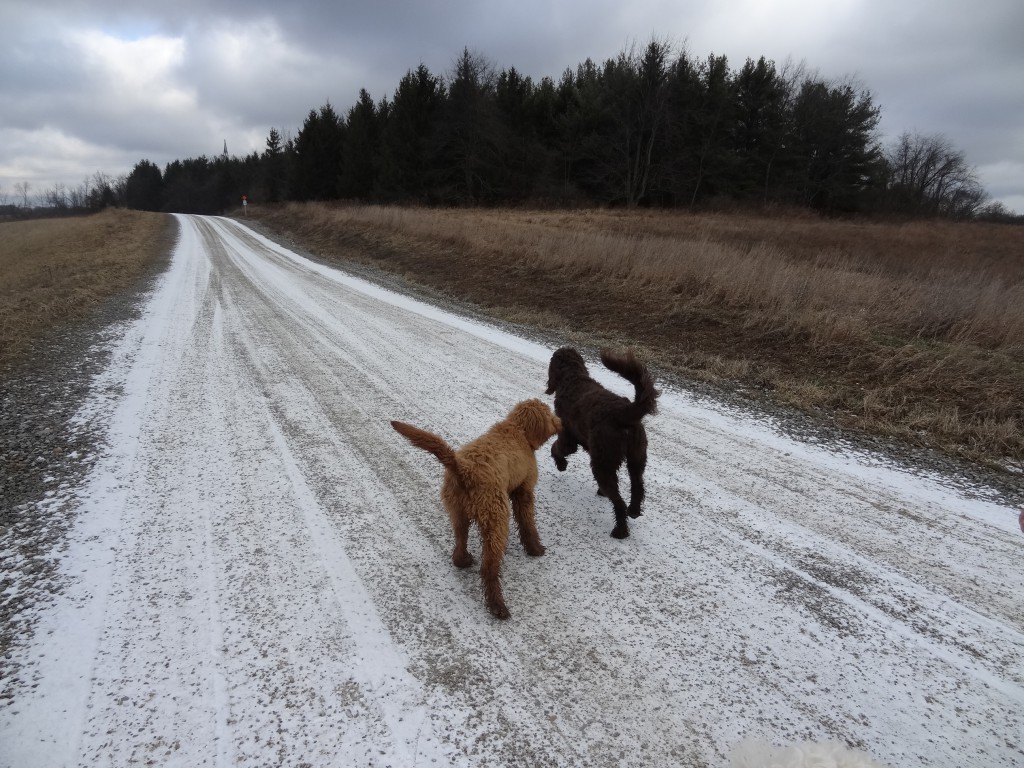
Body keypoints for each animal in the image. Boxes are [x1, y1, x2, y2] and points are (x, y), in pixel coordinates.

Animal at [387, 399, 561, 622]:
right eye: (549, 413)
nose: (561, 421)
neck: (517, 430)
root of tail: (463, 470)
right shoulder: (524, 491)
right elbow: (527, 523)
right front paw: (535, 549)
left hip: (458, 513)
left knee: (459, 544)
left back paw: (464, 561)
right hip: (496, 519)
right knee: (488, 569)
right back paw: (498, 607)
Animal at [548, 346, 659, 536]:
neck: (573, 378)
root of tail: (624, 412)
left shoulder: (568, 438)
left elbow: (556, 448)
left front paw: (561, 464)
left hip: (603, 463)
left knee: (619, 502)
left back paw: (620, 531)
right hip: (636, 458)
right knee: (637, 487)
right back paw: (634, 511)